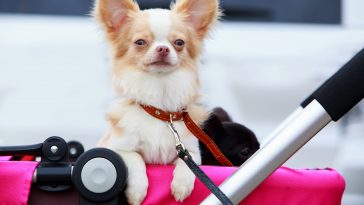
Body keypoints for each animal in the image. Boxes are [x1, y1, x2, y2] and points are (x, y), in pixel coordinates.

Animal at [94, 0, 219, 203]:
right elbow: (135, 159)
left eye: (179, 43)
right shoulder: (116, 149)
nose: (163, 48)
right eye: (140, 42)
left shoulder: (189, 151)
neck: (160, 109)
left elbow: (188, 164)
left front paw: (181, 186)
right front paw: (136, 191)